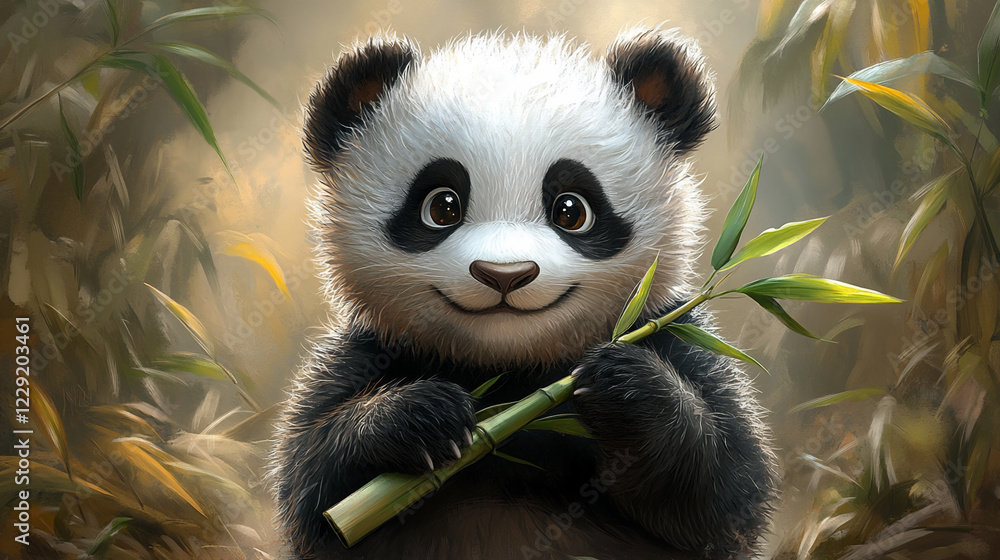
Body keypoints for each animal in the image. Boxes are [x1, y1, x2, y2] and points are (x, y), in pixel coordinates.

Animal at [271, 28, 776, 560]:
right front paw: (423, 417)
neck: (513, 373)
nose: (504, 274)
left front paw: (624, 384)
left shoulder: (673, 336)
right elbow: (311, 483)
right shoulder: (372, 352)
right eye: (441, 206)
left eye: (572, 210)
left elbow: (723, 495)